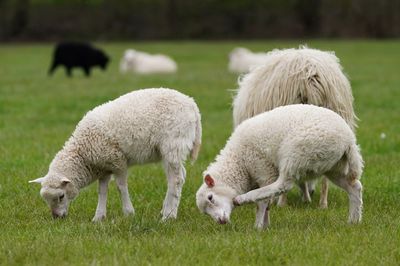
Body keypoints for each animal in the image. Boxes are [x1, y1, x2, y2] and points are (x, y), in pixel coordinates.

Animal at [29, 88, 202, 221]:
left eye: (61, 196)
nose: (57, 218)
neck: (83, 154)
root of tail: (192, 104)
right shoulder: (104, 167)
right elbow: (102, 190)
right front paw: (98, 217)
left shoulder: (118, 161)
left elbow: (120, 187)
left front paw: (128, 213)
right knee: (176, 178)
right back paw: (166, 210)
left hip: (173, 144)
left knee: (176, 180)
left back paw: (169, 215)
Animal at [195, 105, 364, 230]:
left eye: (210, 198)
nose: (221, 221)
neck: (240, 164)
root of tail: (349, 140)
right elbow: (267, 204)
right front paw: (265, 225)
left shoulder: (264, 169)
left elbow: (263, 201)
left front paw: (258, 227)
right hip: (333, 166)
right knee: (354, 187)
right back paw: (354, 220)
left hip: (297, 153)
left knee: (283, 185)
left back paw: (242, 198)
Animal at [233, 45, 358, 209]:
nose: (312, 192)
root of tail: (309, 70)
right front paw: (306, 197)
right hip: (334, 124)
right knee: (326, 175)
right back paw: (323, 203)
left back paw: (283, 203)